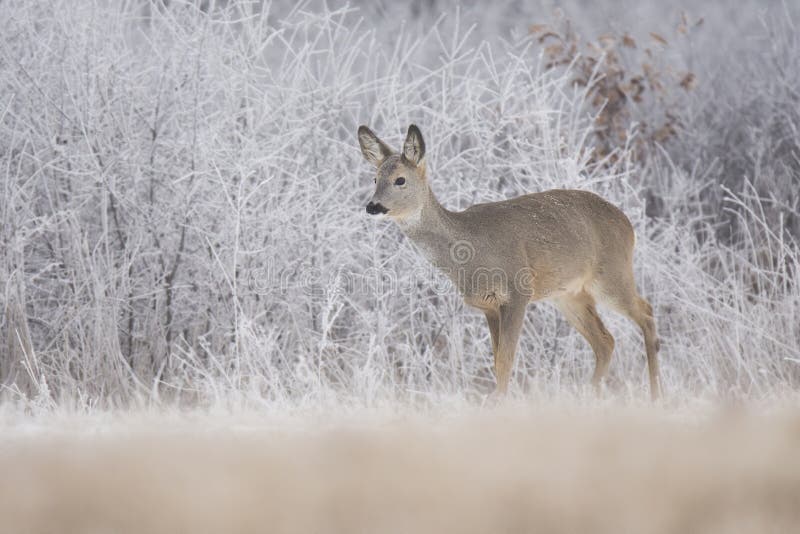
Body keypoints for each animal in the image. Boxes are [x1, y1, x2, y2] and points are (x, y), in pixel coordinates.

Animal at [360, 123, 660, 400]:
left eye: (400, 180)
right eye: (375, 179)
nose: (372, 206)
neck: (469, 251)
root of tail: (628, 225)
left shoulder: (518, 292)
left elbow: (506, 361)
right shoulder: (488, 305)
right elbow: (497, 361)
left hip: (612, 275)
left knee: (646, 312)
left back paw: (656, 395)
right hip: (568, 295)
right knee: (606, 341)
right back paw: (591, 396)